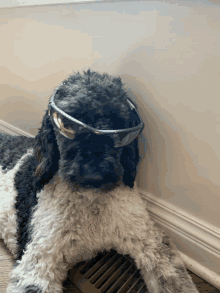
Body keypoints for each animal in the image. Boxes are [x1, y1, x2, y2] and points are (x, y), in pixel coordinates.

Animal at [0, 70, 199, 292]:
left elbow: (175, 280)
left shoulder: (150, 241)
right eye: (69, 124)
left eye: (118, 124)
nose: (93, 174)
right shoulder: (38, 261)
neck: (92, 200)